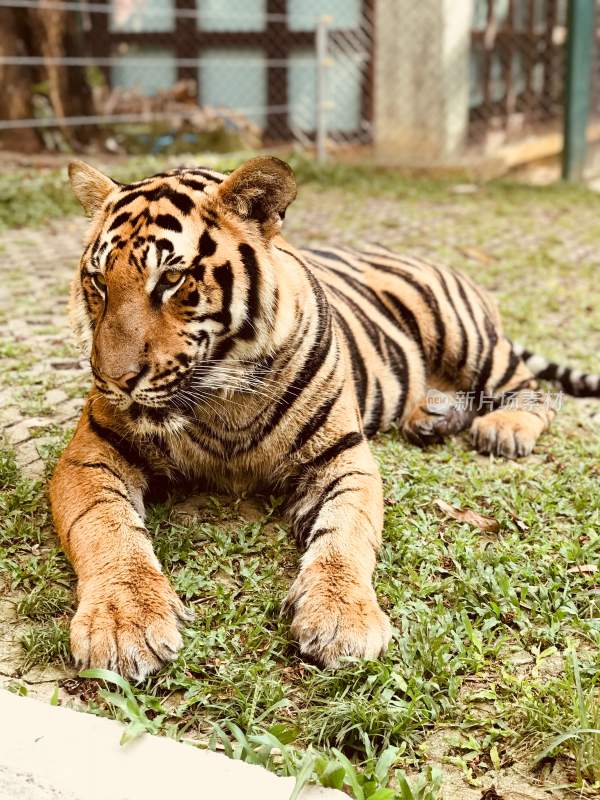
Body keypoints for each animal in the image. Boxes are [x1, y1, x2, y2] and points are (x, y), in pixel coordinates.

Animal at [49, 158, 600, 680]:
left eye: (171, 279)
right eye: (98, 281)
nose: (113, 380)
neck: (221, 399)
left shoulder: (344, 458)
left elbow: (346, 535)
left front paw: (341, 618)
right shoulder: (90, 454)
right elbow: (106, 527)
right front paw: (124, 621)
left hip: (463, 334)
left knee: (529, 387)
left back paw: (504, 429)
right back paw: (431, 418)